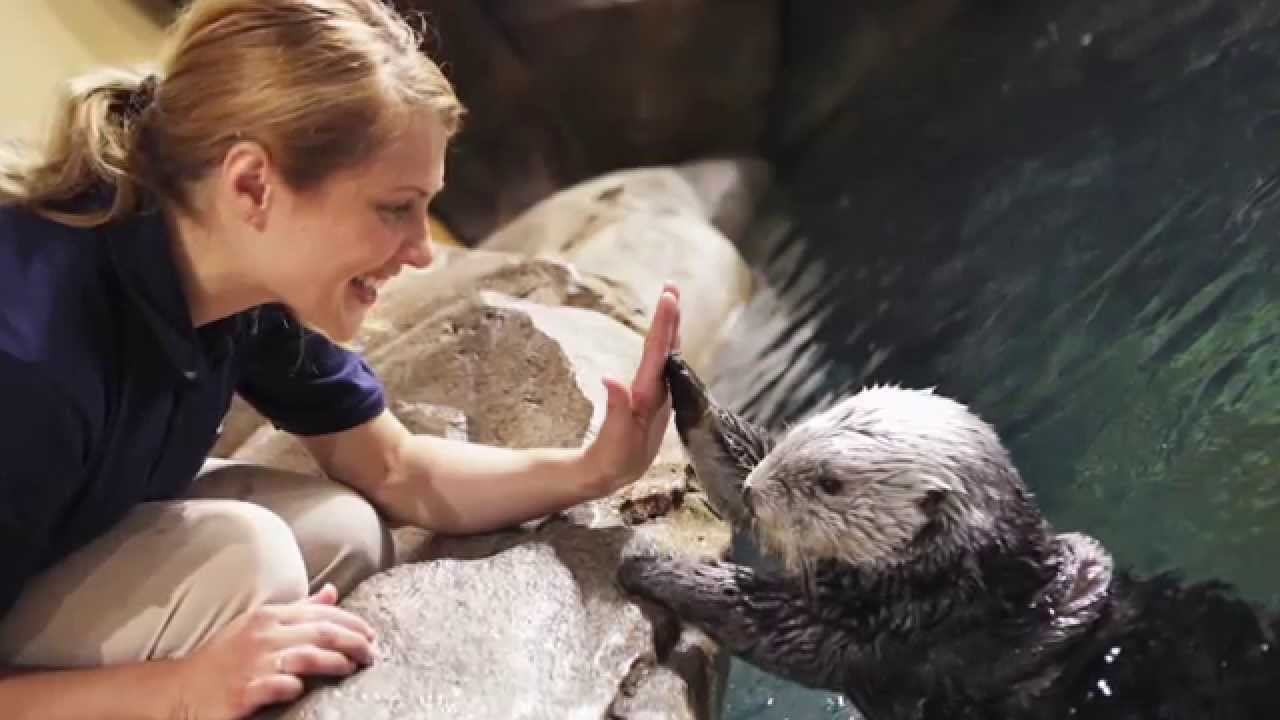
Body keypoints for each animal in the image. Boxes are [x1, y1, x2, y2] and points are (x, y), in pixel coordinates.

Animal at [618, 353, 1280, 719]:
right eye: (798, 434)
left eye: (830, 483)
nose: (760, 491)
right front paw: (682, 380)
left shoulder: (901, 638)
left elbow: (778, 625)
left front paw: (650, 563)